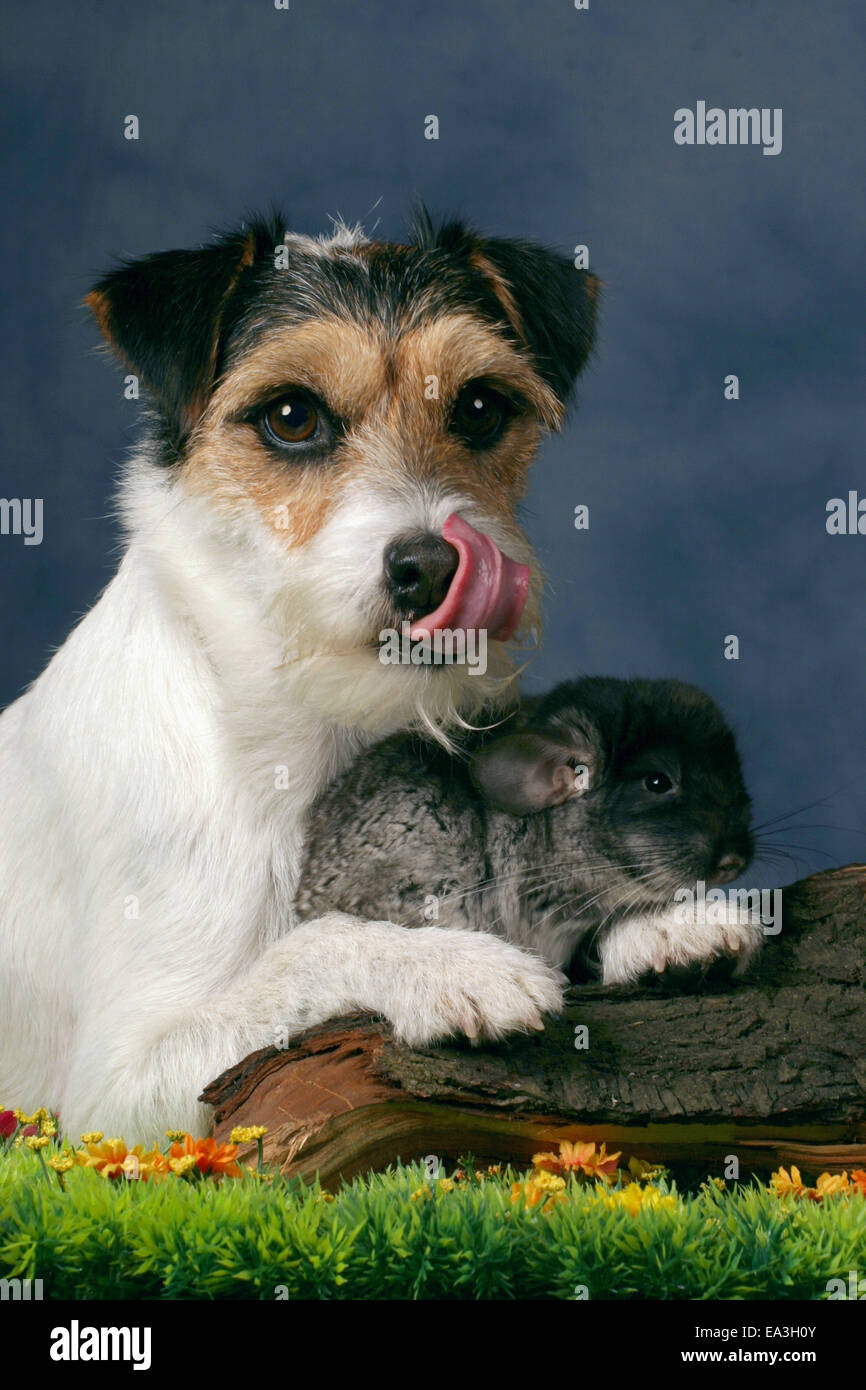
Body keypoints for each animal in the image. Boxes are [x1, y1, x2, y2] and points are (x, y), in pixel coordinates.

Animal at [0, 205, 600, 1139]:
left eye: (479, 407)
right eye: (290, 416)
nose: (431, 567)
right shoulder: (113, 1095)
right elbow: (308, 947)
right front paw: (450, 966)